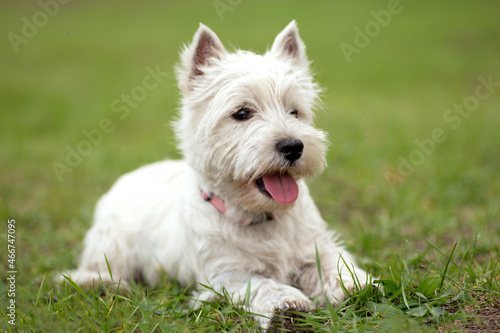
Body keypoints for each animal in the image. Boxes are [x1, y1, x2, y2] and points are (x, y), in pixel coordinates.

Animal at [65, 21, 368, 330]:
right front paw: (288, 304)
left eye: (294, 112)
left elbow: (334, 264)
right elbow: (263, 284)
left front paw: (356, 286)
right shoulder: (226, 275)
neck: (262, 217)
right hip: (112, 243)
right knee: (95, 268)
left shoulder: (314, 248)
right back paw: (103, 284)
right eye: (242, 113)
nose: (293, 146)